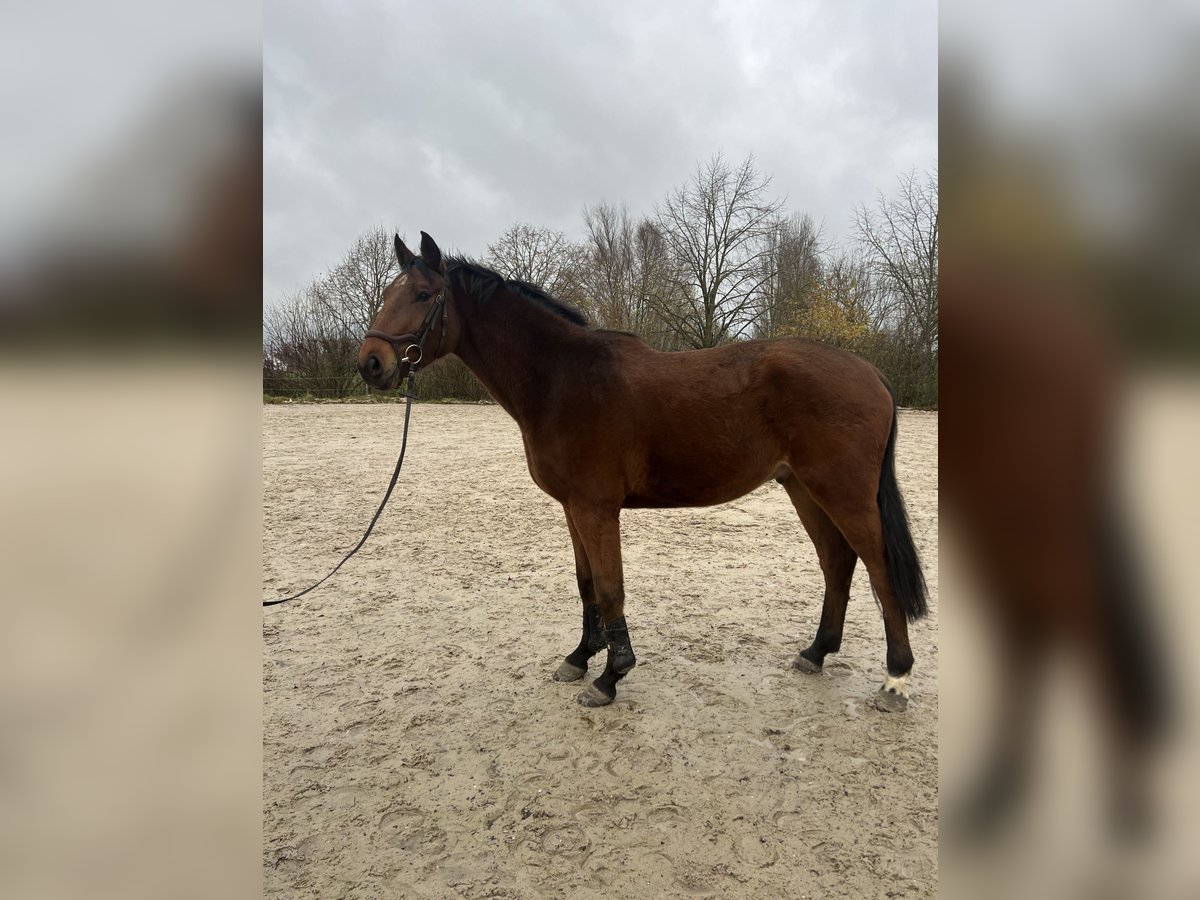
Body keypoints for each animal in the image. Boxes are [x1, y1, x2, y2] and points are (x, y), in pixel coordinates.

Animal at [355, 230, 926, 710]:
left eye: (423, 295)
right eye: (388, 292)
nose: (371, 363)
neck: (562, 379)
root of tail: (871, 373)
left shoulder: (596, 508)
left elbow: (611, 589)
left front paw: (611, 676)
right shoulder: (573, 509)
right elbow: (586, 583)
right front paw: (580, 658)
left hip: (844, 493)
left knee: (878, 569)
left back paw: (896, 679)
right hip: (803, 488)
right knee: (837, 562)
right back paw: (816, 652)